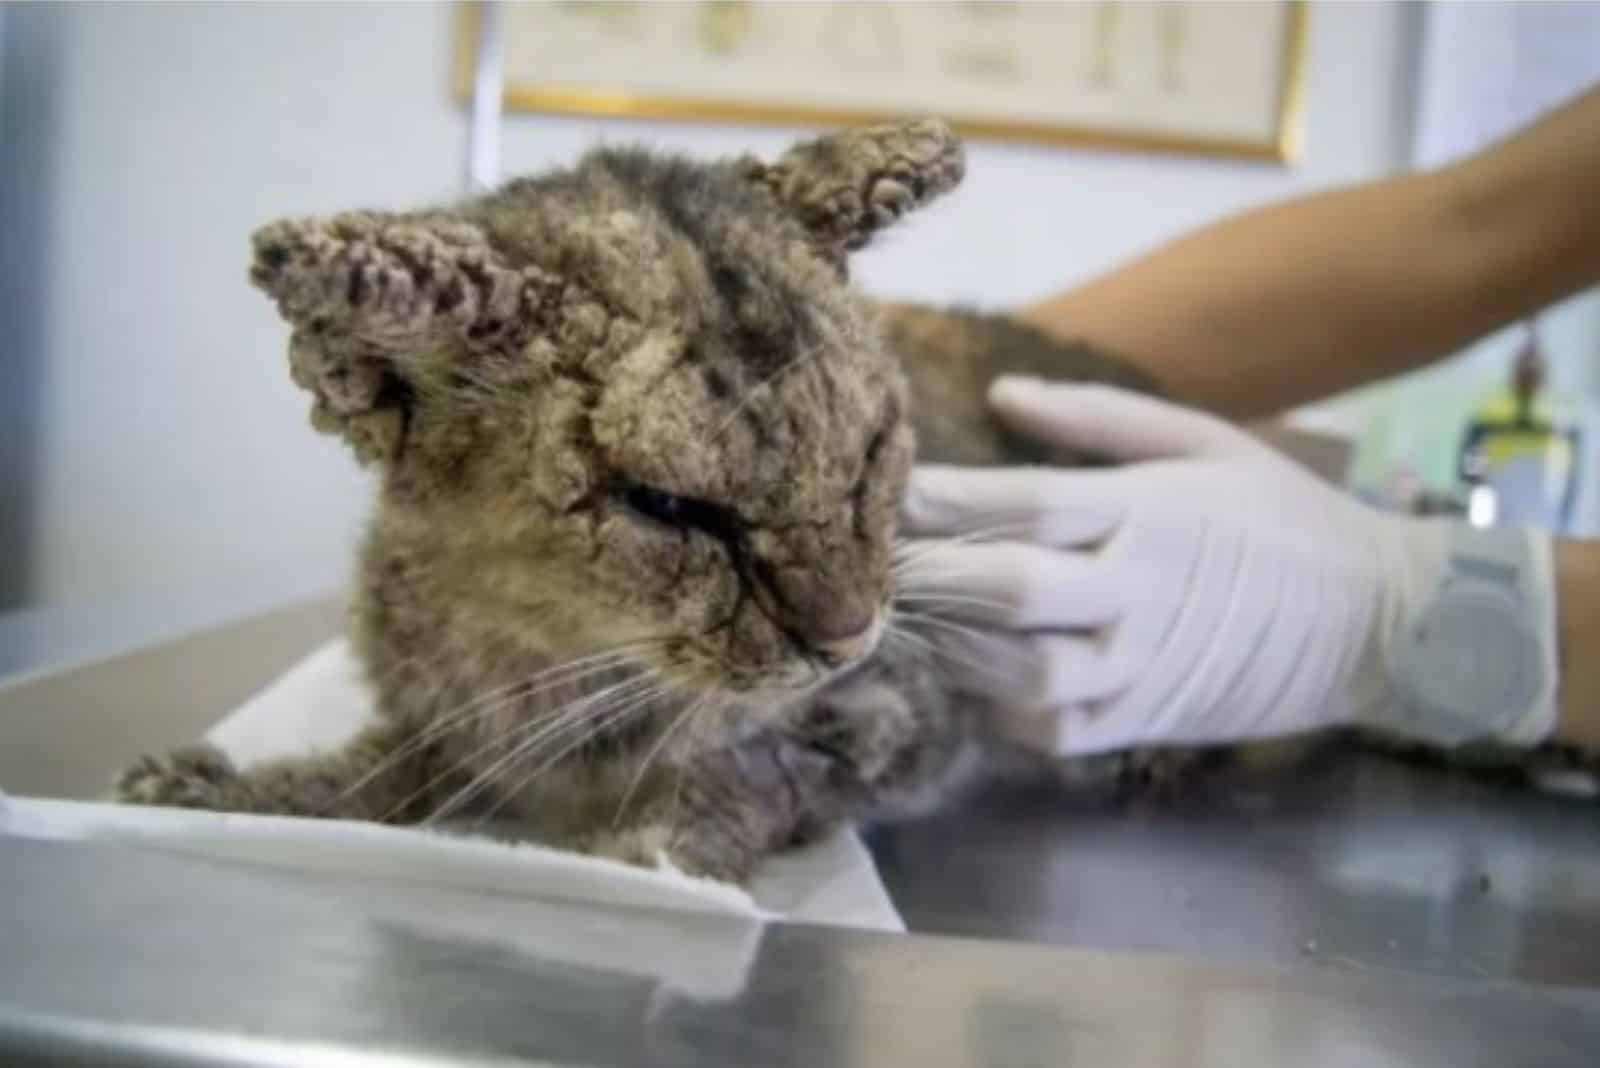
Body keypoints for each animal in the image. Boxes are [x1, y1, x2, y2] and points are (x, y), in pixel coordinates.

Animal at [112, 119, 1587, 882]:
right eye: (668, 507)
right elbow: (398, 770)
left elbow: (754, 774)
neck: (555, 662)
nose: (845, 628)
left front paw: (641, 853)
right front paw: (250, 790)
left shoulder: (897, 720)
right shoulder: (454, 712)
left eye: (876, 452)